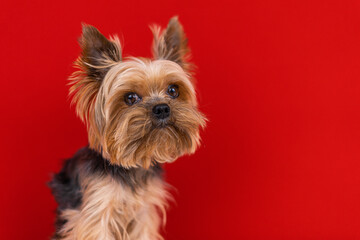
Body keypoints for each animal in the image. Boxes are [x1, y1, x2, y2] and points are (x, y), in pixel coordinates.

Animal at [48, 15, 205, 239]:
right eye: (130, 98)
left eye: (173, 90)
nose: (162, 108)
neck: (132, 167)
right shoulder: (96, 211)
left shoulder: (143, 214)